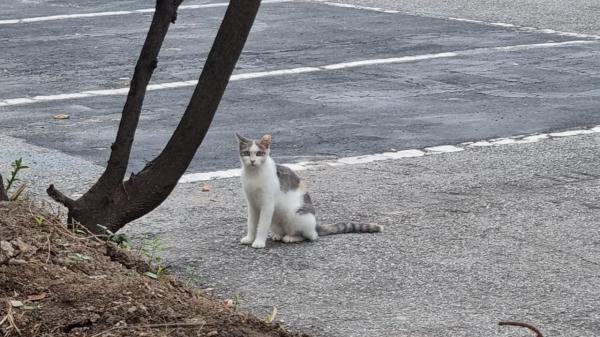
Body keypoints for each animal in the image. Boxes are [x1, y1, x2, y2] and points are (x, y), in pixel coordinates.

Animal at [236, 133, 382, 248]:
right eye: (247, 153)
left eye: (259, 153)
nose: (252, 161)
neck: (254, 175)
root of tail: (315, 224)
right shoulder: (252, 204)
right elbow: (251, 223)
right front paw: (249, 238)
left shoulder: (267, 204)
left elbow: (262, 225)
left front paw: (259, 242)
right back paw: (278, 235)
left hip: (295, 214)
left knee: (311, 236)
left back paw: (291, 237)